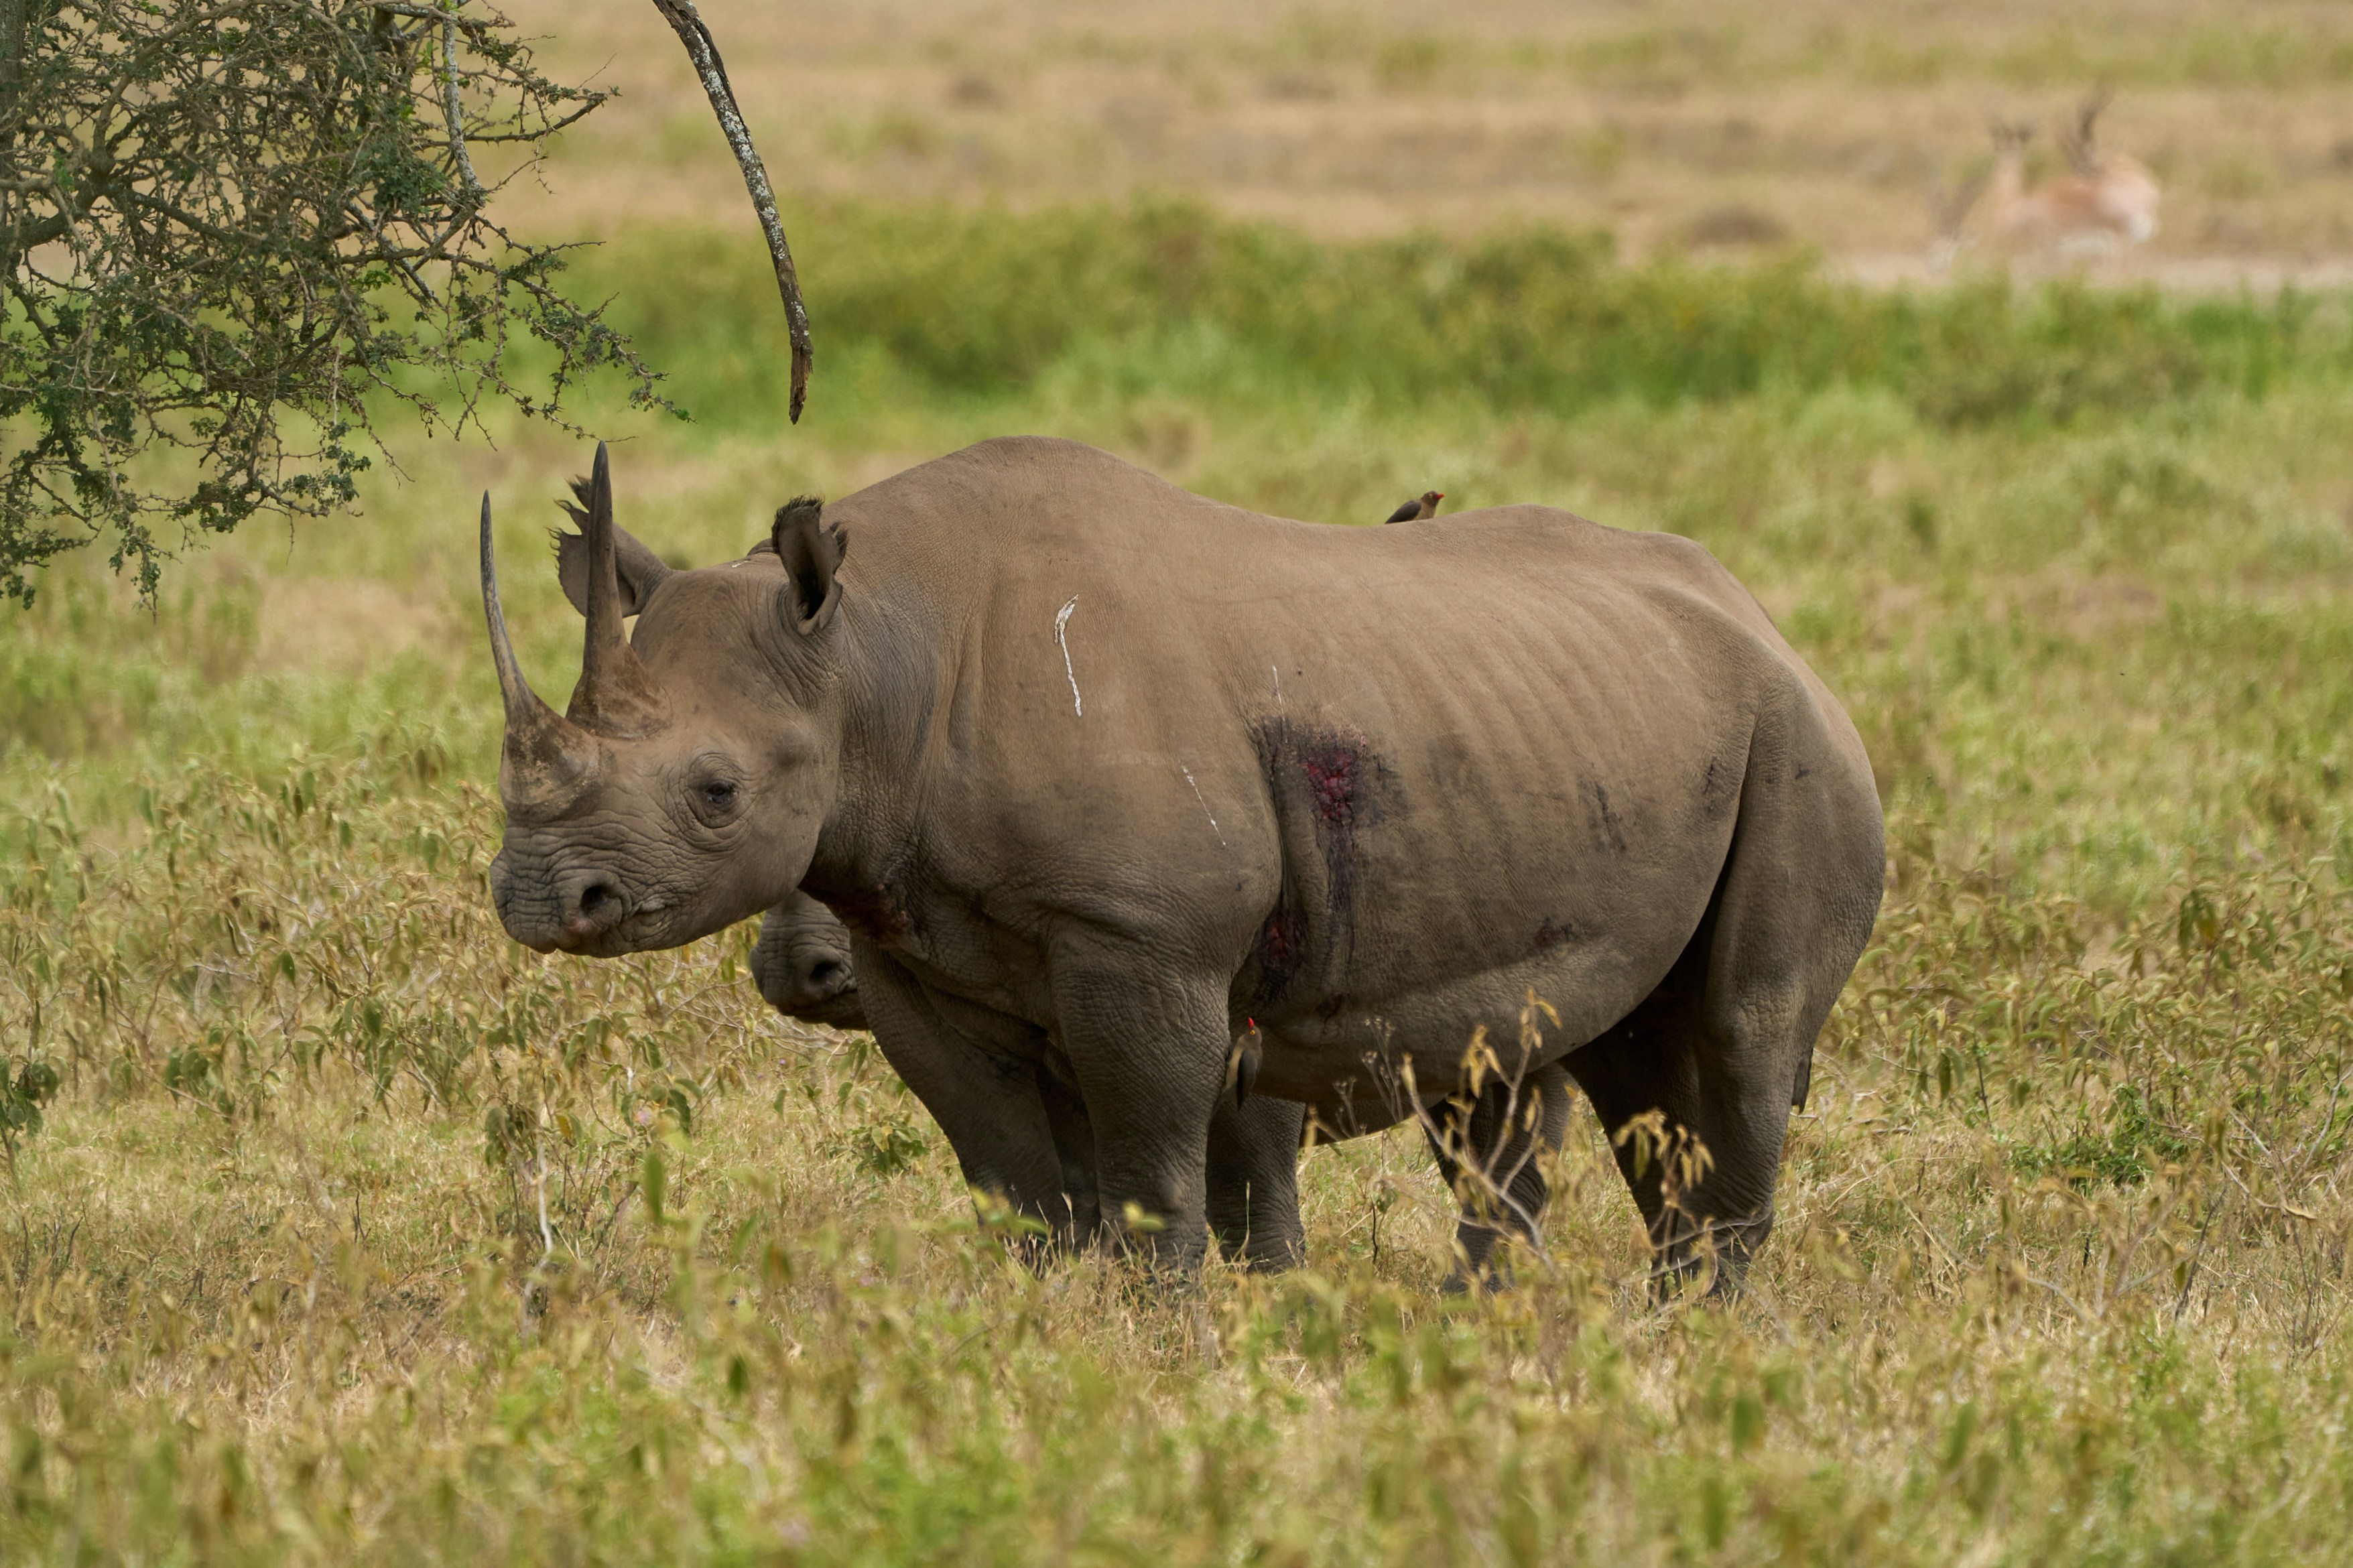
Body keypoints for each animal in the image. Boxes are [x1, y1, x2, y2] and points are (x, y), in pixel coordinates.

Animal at [482, 437, 1883, 1288]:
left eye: (716, 793)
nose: (542, 901)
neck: (878, 658)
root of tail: (1766, 618)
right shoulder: (920, 957)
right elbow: (1022, 1191)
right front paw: (1044, 1345)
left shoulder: (1147, 942)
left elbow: (1166, 1188)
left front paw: (1182, 1355)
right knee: (1609, 1064)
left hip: (1798, 741)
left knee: (1738, 1039)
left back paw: (1694, 1348)